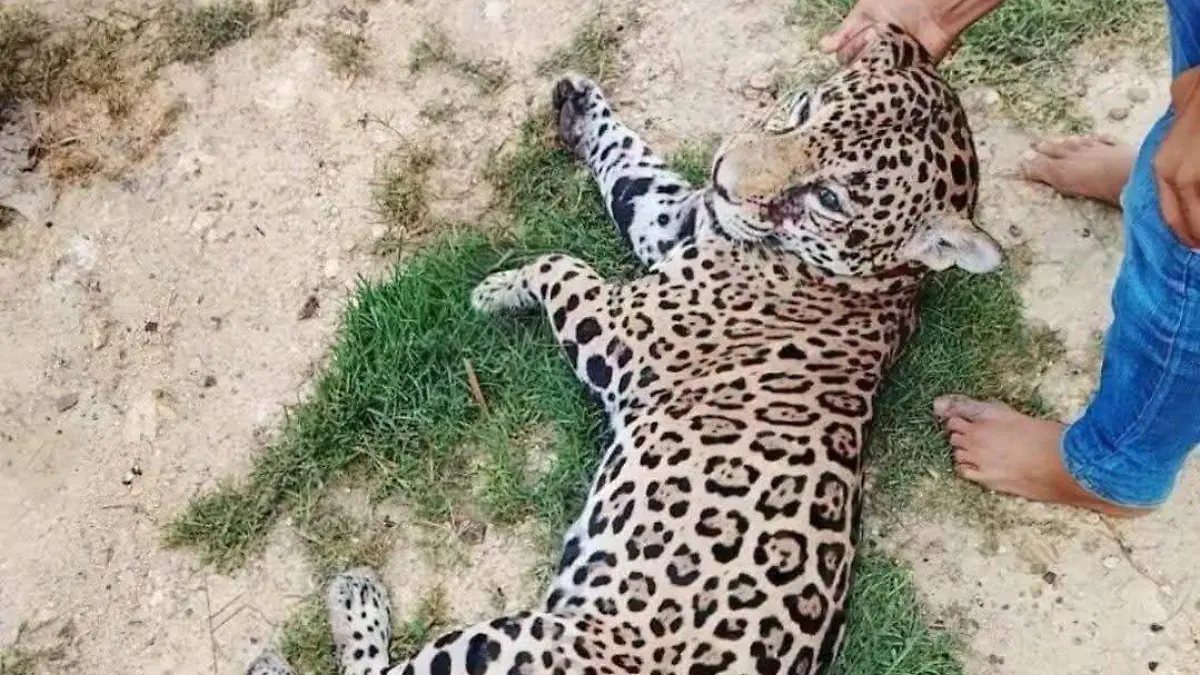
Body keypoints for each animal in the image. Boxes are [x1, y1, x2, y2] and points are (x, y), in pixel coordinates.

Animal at [247, 23, 1001, 675]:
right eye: (805, 108)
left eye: (831, 198)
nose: (724, 175)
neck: (881, 283)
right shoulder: (674, 220)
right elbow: (631, 168)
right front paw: (579, 106)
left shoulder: (620, 328)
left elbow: (563, 262)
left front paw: (498, 289)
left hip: (521, 642)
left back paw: (348, 604)